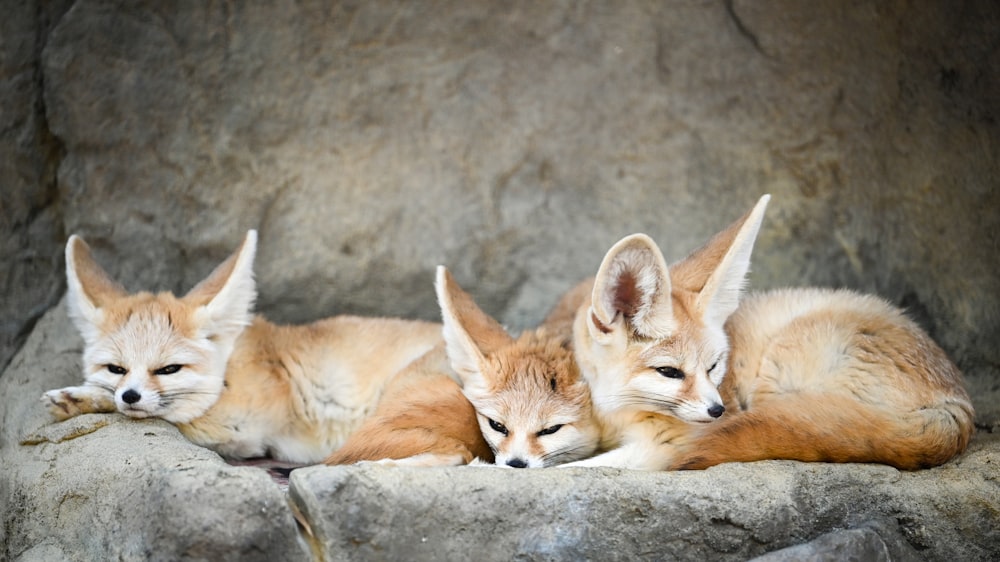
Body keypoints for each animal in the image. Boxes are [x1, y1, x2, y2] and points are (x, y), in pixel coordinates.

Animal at [43, 230, 442, 462]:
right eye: (117, 368)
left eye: (168, 369)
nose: (130, 395)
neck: (232, 367)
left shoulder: (243, 428)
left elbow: (177, 412)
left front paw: (86, 397)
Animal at [564, 195, 976, 470]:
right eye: (669, 372)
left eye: (714, 366)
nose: (718, 410)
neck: (619, 409)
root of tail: (958, 401)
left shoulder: (663, 445)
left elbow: (575, 469)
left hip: (778, 361)